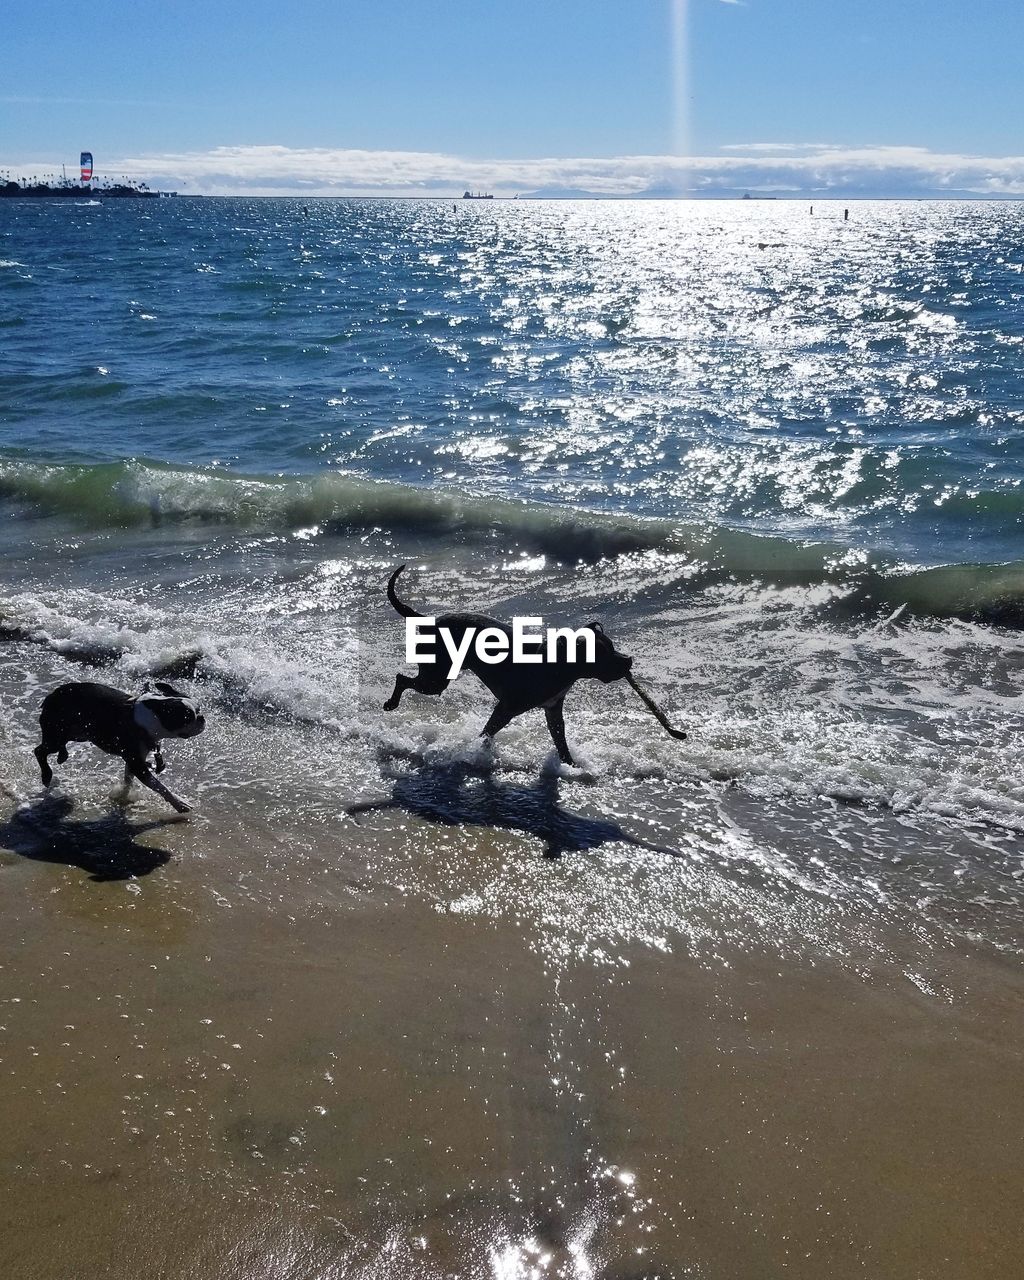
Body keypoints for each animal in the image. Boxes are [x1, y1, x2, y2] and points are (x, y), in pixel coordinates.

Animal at [34, 680, 206, 808]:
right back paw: (47, 775)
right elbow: (158, 785)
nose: (202, 718)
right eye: (187, 717)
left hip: (78, 733)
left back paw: (62, 755)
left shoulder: (134, 759)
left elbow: (128, 780)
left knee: (56, 746)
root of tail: (51, 695)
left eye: (198, 710)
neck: (152, 717)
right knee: (39, 750)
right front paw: (180, 803)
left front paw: (122, 795)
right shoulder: (137, 763)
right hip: (57, 734)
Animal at [384, 568, 632, 762]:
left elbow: (561, 742)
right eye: (602, 653)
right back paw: (391, 703)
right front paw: (477, 753)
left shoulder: (553, 711)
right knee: (402, 678)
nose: (628, 660)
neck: (560, 663)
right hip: (436, 679)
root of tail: (429, 622)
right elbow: (487, 733)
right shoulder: (506, 708)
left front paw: (571, 766)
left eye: (612, 646)